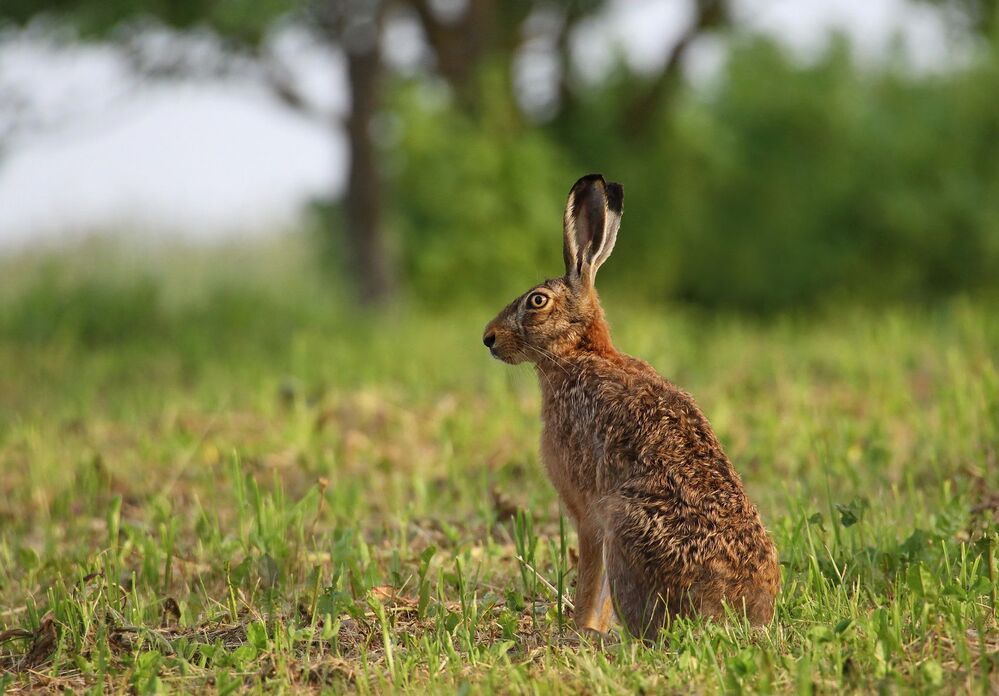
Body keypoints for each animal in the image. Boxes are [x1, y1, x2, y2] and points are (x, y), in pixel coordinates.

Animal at [482, 174, 780, 639]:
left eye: (536, 301)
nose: (489, 338)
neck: (578, 353)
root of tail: (737, 609)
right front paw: (592, 629)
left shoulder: (588, 513)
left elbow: (590, 576)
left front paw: (581, 629)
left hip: (626, 528)